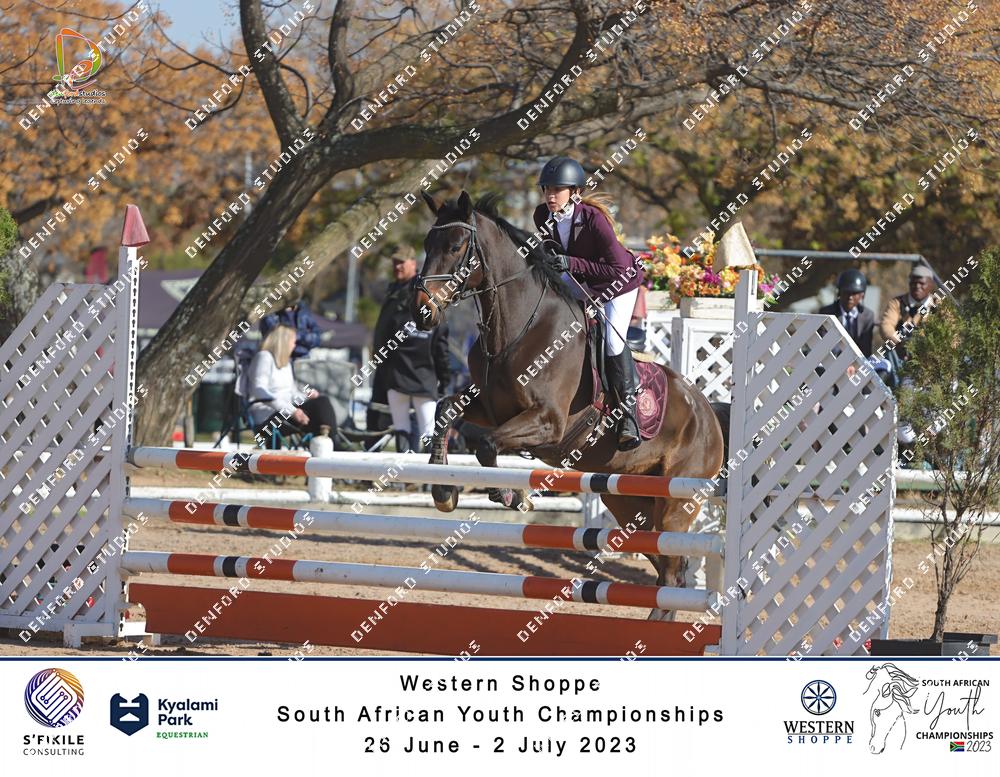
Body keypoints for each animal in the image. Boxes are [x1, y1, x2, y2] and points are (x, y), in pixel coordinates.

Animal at [412, 190, 726, 619]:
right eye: (427, 243)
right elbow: (447, 410)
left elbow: (486, 445)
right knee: (666, 571)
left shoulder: (548, 421)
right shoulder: (489, 408)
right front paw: (444, 490)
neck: (516, 328)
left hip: (675, 503)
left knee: (675, 572)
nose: (422, 311)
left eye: (457, 246)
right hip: (628, 501)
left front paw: (509, 495)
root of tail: (709, 414)